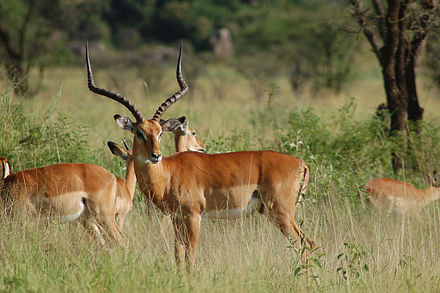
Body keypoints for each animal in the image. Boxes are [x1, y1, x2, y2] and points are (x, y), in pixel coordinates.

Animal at [86, 41, 312, 270]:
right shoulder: (176, 218)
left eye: (159, 132)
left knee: (304, 243)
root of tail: (301, 163)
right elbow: (178, 255)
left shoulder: (194, 216)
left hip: (281, 212)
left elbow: (190, 255)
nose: (156, 155)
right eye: (139, 132)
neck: (168, 174)